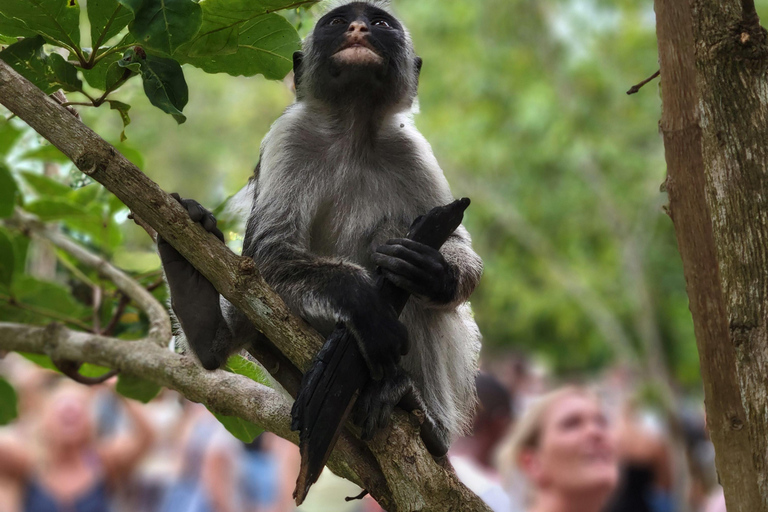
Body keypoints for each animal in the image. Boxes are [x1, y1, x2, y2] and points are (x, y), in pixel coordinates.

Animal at [159, 0, 484, 456]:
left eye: (380, 23)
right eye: (337, 21)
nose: (359, 28)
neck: (353, 131)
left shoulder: (412, 149)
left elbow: (452, 244)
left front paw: (433, 271)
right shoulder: (290, 135)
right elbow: (267, 255)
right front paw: (361, 298)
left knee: (402, 265)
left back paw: (420, 414)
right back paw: (202, 318)